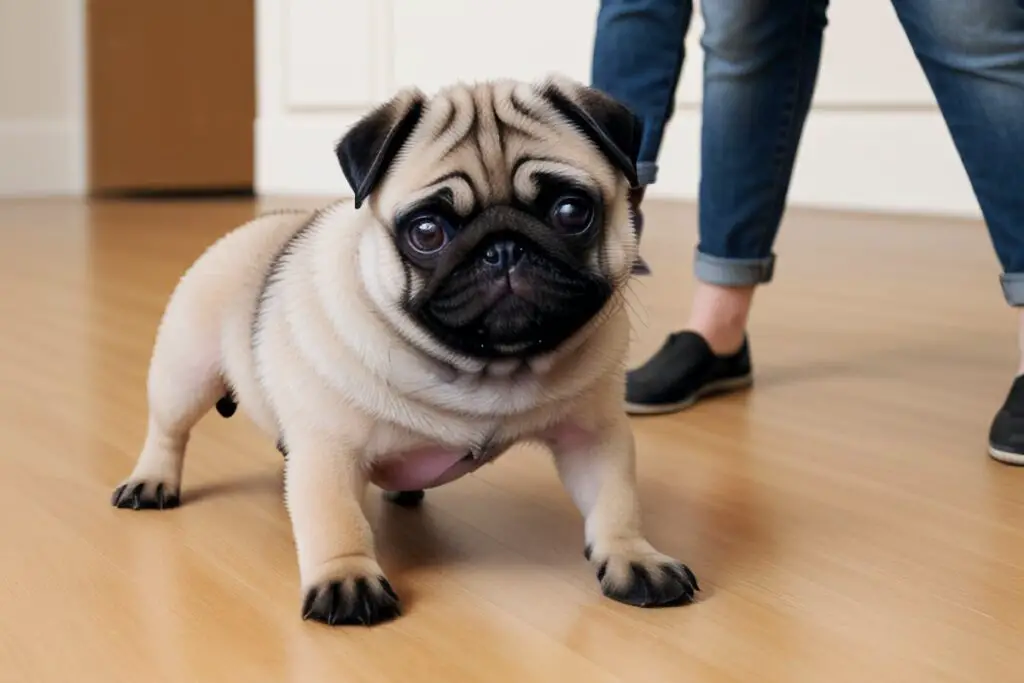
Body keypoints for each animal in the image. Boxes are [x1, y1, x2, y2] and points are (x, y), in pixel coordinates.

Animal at [114, 73, 696, 626]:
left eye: (572, 212)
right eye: (427, 231)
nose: (504, 249)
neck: (486, 369)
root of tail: (255, 226)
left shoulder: (593, 437)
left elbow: (614, 501)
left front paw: (634, 556)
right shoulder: (329, 451)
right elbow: (336, 518)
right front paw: (346, 578)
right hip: (184, 373)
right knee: (168, 430)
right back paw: (152, 481)